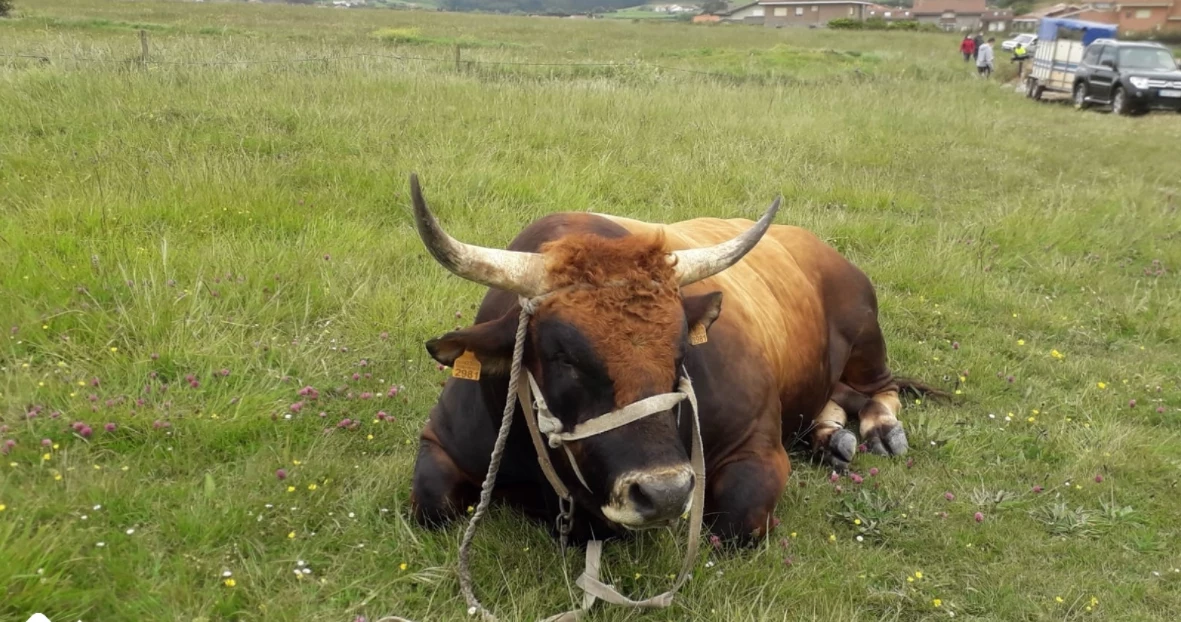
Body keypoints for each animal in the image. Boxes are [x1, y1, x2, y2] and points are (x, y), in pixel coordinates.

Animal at [406, 177, 930, 545]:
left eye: (682, 353)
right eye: (563, 357)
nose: (665, 492)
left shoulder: (756, 449)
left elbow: (738, 520)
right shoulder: (441, 441)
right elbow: (431, 503)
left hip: (866, 338)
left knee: (881, 388)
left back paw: (880, 431)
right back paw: (830, 435)